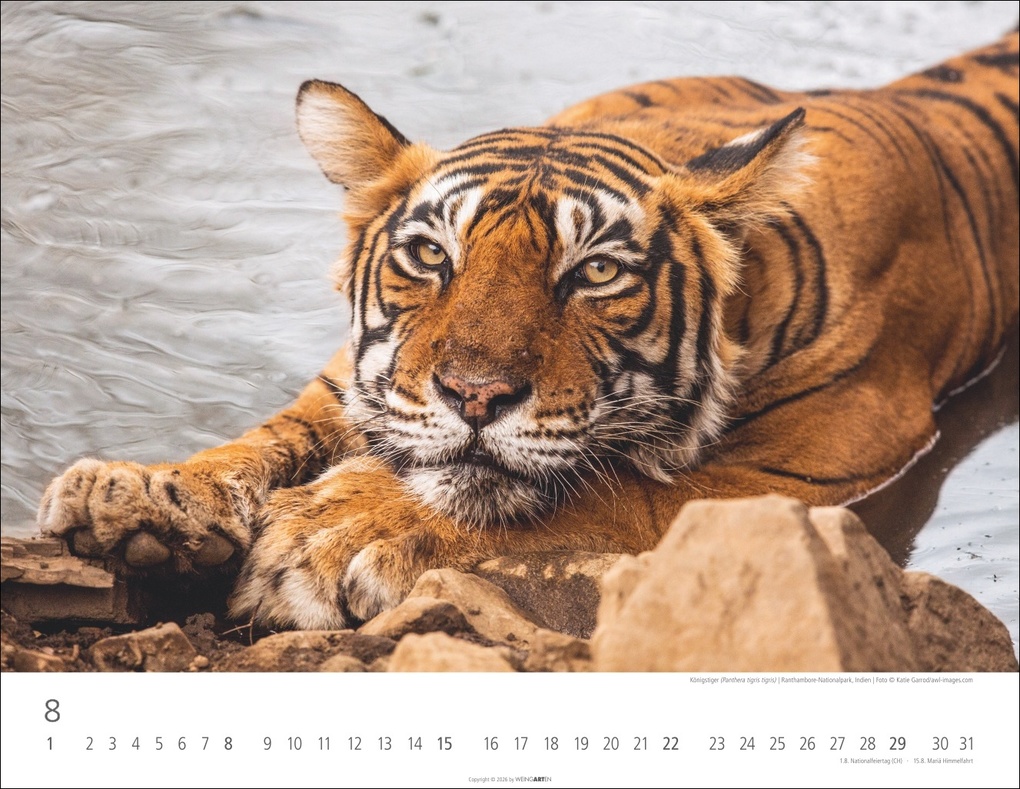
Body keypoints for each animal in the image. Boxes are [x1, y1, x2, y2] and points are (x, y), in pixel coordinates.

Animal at [37, 31, 1019, 631]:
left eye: (596, 273)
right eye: (430, 255)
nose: (475, 396)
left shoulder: (817, 459)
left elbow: (603, 493)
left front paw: (335, 533)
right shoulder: (359, 376)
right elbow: (278, 431)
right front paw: (143, 492)